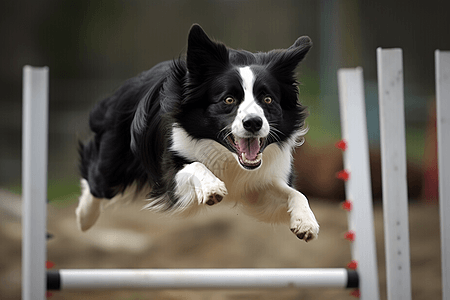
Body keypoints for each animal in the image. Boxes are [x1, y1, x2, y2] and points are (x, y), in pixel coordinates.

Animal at [75, 24, 318, 243]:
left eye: (267, 99)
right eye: (228, 99)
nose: (253, 123)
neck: (228, 157)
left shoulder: (257, 186)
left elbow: (296, 193)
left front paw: (306, 222)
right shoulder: (171, 178)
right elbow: (195, 165)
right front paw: (212, 187)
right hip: (112, 159)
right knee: (95, 177)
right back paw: (84, 218)